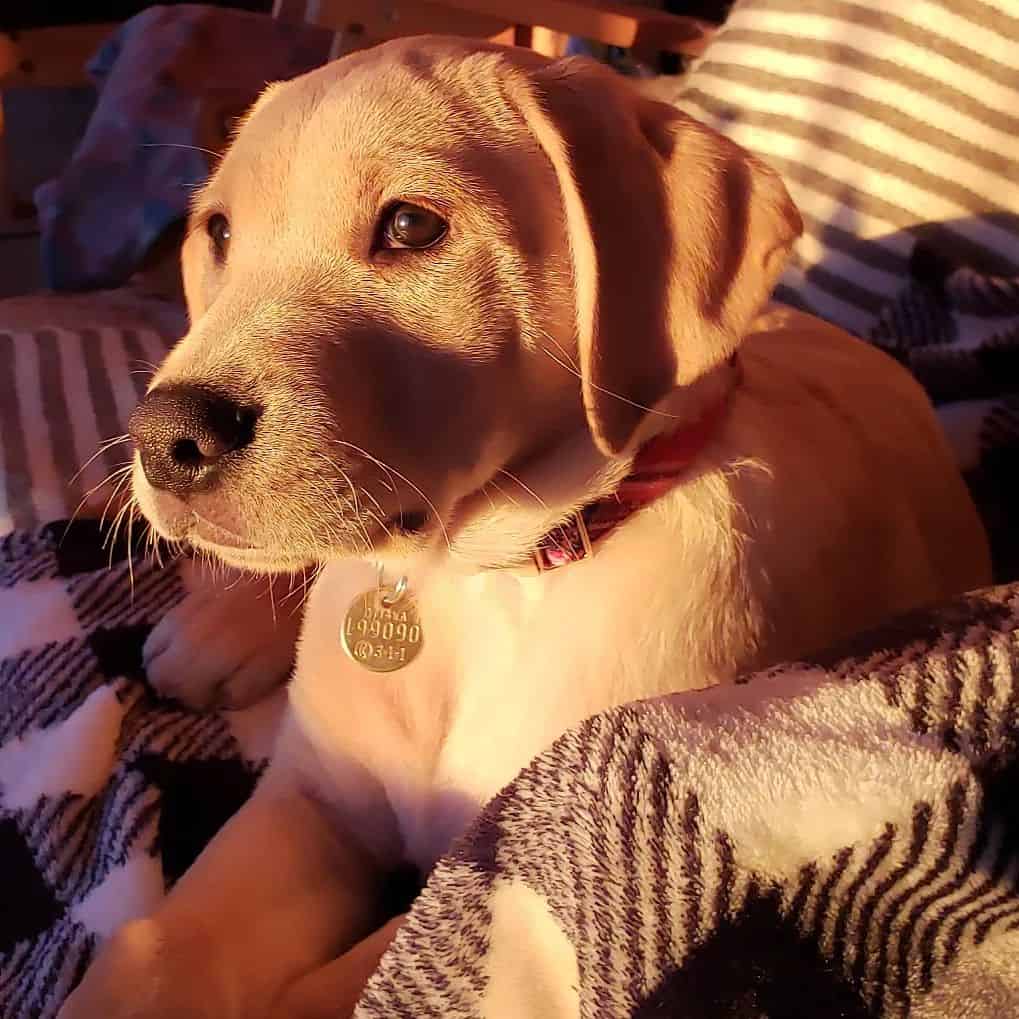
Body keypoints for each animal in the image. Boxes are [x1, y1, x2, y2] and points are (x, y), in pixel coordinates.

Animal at [55, 35, 986, 1019]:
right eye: (220, 234)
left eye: (411, 227)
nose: (164, 438)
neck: (470, 583)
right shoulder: (312, 799)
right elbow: (154, 947)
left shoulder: (493, 887)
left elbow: (330, 994)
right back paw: (214, 630)